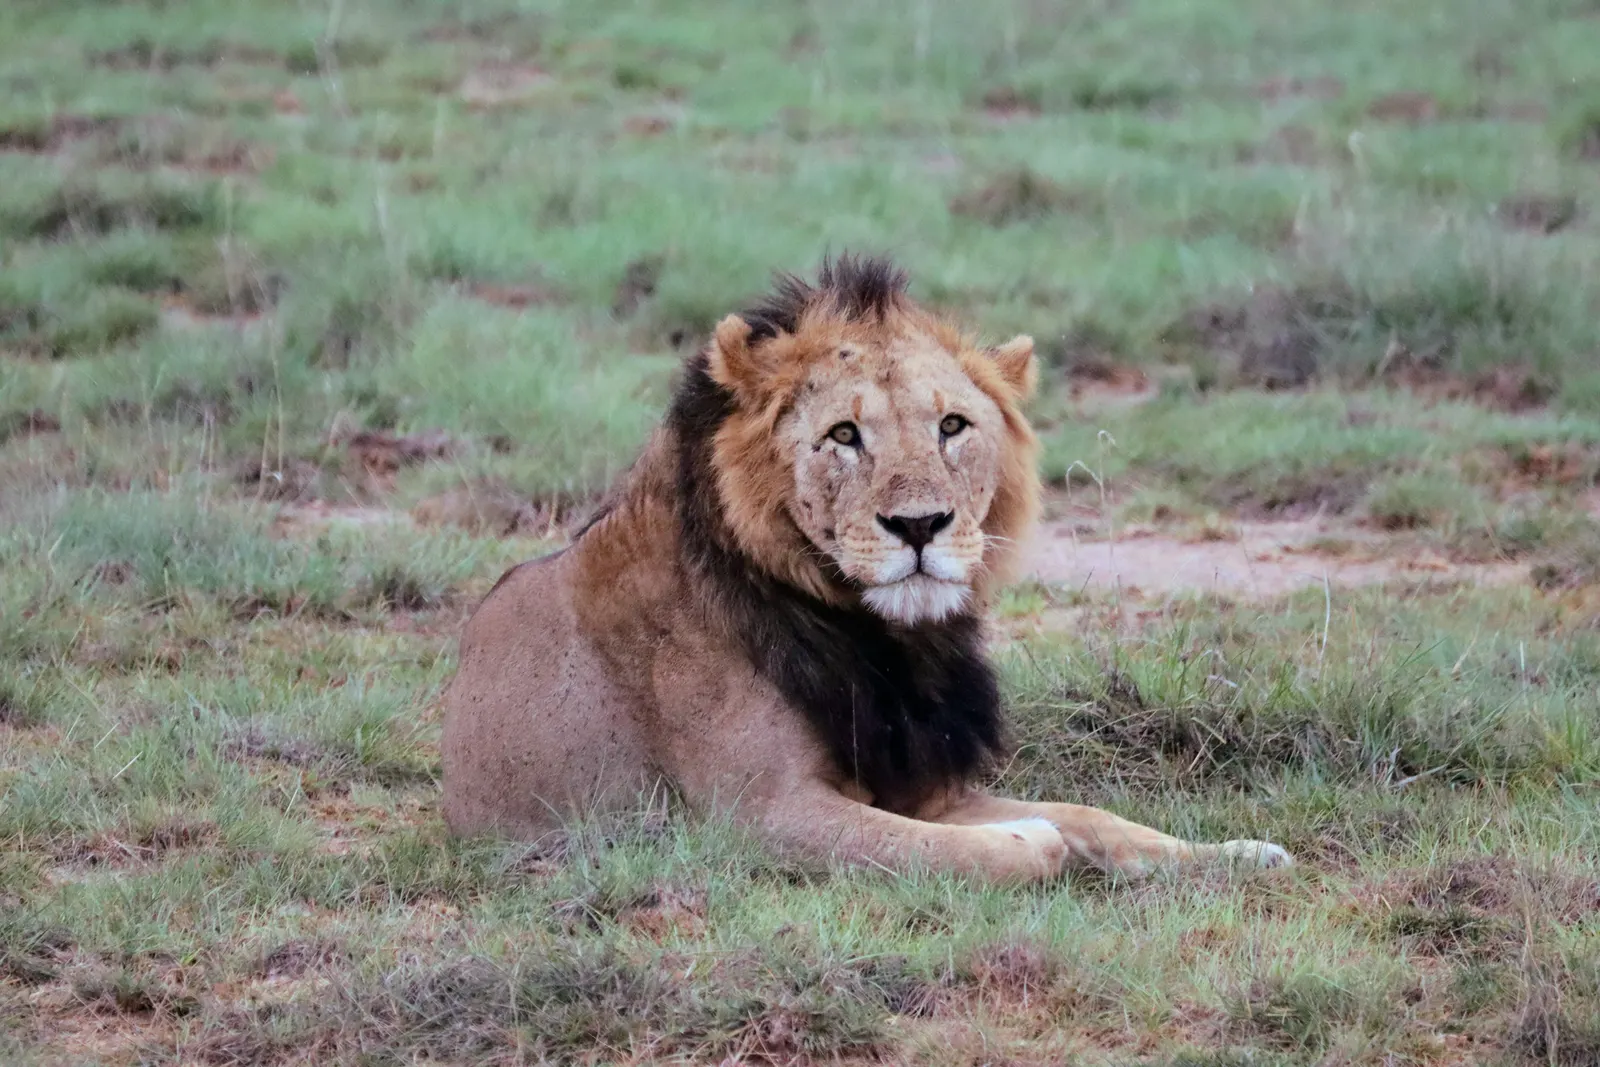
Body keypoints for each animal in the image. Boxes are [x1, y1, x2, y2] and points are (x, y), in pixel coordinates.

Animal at [441, 255, 1291, 883]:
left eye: (952, 425)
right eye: (844, 435)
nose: (919, 525)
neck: (887, 640)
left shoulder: (920, 779)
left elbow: (1094, 816)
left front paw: (1238, 852)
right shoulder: (755, 816)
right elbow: (994, 847)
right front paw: (1031, 838)